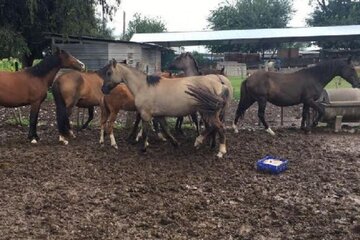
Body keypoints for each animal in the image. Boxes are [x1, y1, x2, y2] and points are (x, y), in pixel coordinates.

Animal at [98, 59, 231, 158]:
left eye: (109, 72)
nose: (103, 89)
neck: (143, 86)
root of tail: (221, 84)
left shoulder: (146, 114)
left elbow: (146, 132)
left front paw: (143, 148)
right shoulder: (158, 115)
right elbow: (166, 129)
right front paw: (175, 143)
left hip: (208, 113)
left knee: (219, 127)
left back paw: (220, 151)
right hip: (207, 113)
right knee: (212, 127)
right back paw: (200, 142)